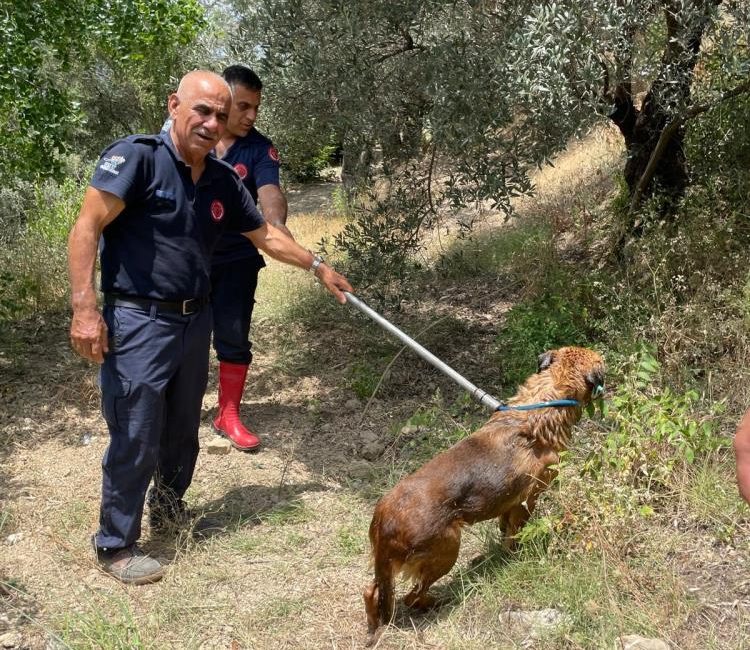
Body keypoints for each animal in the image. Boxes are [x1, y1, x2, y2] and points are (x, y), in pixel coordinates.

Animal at [364, 346, 604, 640]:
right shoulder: (526, 501)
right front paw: (514, 556)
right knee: (413, 596)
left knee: (371, 591)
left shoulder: (508, 505)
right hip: (447, 549)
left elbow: (504, 529)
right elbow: (515, 535)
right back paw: (437, 602)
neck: (543, 404)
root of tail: (384, 521)